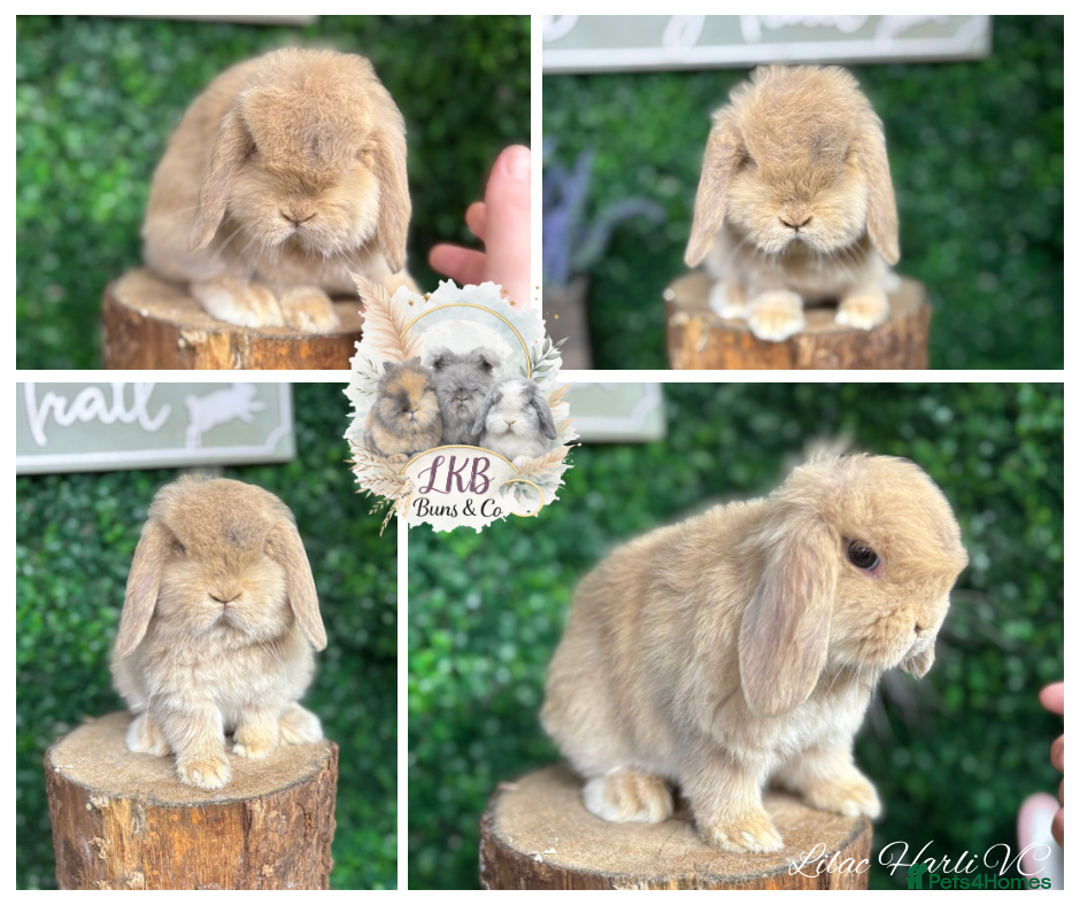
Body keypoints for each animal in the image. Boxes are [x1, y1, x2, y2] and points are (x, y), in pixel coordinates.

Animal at [111, 476, 328, 791]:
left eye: (264, 548)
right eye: (181, 547)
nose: (225, 594)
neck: (224, 639)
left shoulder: (267, 689)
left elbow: (260, 715)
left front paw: (255, 749)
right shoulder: (184, 696)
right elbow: (196, 727)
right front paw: (207, 774)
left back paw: (300, 726)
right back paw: (149, 738)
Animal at [143, 48, 417, 334]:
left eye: (355, 155)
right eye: (254, 148)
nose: (297, 213)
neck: (306, 250)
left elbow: (398, 286)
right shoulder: (269, 265)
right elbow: (289, 284)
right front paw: (313, 316)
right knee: (205, 278)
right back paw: (254, 307)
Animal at [542, 455, 968, 853]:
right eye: (863, 555)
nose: (924, 625)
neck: (828, 671)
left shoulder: (826, 734)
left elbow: (824, 763)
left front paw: (855, 797)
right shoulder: (713, 733)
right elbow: (723, 780)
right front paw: (747, 835)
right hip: (591, 715)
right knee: (600, 765)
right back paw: (636, 796)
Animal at [685, 65, 900, 342]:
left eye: (842, 159)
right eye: (750, 160)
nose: (795, 219)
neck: (802, 255)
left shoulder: (868, 268)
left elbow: (863, 286)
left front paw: (862, 314)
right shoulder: (762, 277)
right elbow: (774, 293)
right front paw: (774, 323)